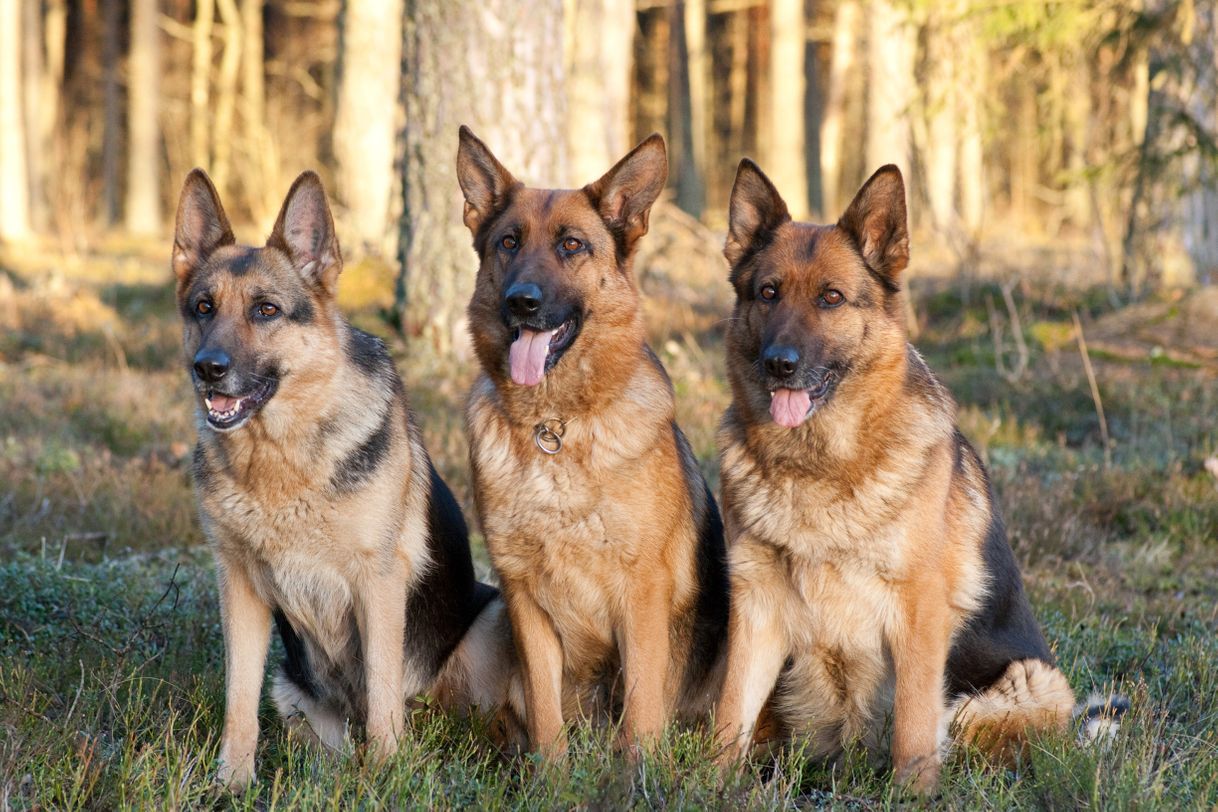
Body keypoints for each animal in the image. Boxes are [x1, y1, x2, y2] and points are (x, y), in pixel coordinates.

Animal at [174, 170, 511, 788]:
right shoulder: (239, 589)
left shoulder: (376, 583)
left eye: (266, 310)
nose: (207, 368)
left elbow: (381, 687)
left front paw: (387, 774)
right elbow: (238, 699)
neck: (280, 462)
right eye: (203, 307)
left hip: (492, 621)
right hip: (292, 687)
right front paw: (231, 783)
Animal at [455, 125, 721, 754]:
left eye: (572, 245)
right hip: (490, 622)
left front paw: (639, 768)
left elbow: (643, 708)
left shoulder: (642, 593)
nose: (522, 302)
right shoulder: (521, 594)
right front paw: (549, 769)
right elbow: (544, 708)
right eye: (508, 243)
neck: (555, 428)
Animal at [711, 160, 1120, 793]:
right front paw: (701, 782)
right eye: (768, 293)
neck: (819, 465)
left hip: (1014, 688)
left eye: (831, 298)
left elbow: (912, 723)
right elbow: (731, 712)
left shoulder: (918, 612)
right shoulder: (755, 607)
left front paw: (912, 793)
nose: (779, 364)